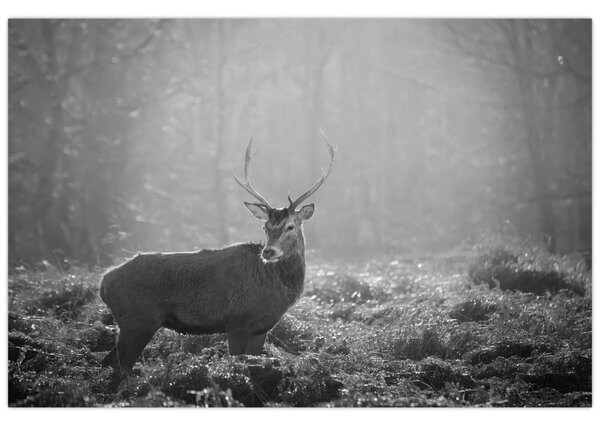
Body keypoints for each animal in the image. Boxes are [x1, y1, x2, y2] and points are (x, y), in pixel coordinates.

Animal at [101, 131, 338, 374]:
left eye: (290, 226)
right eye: (265, 227)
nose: (268, 252)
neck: (275, 293)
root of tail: (104, 282)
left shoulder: (261, 329)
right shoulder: (235, 322)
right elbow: (237, 361)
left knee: (109, 361)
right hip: (138, 321)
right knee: (119, 364)